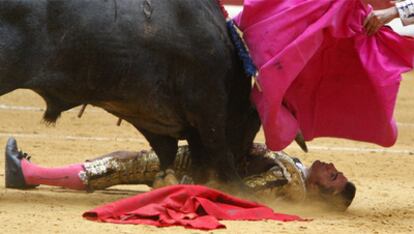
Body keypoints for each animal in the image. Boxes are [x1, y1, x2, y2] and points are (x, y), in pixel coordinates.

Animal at [0, 0, 262, 186]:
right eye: (252, 125)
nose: (245, 160)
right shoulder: (207, 102)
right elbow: (216, 145)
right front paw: (239, 189)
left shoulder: (151, 115)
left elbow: (173, 151)